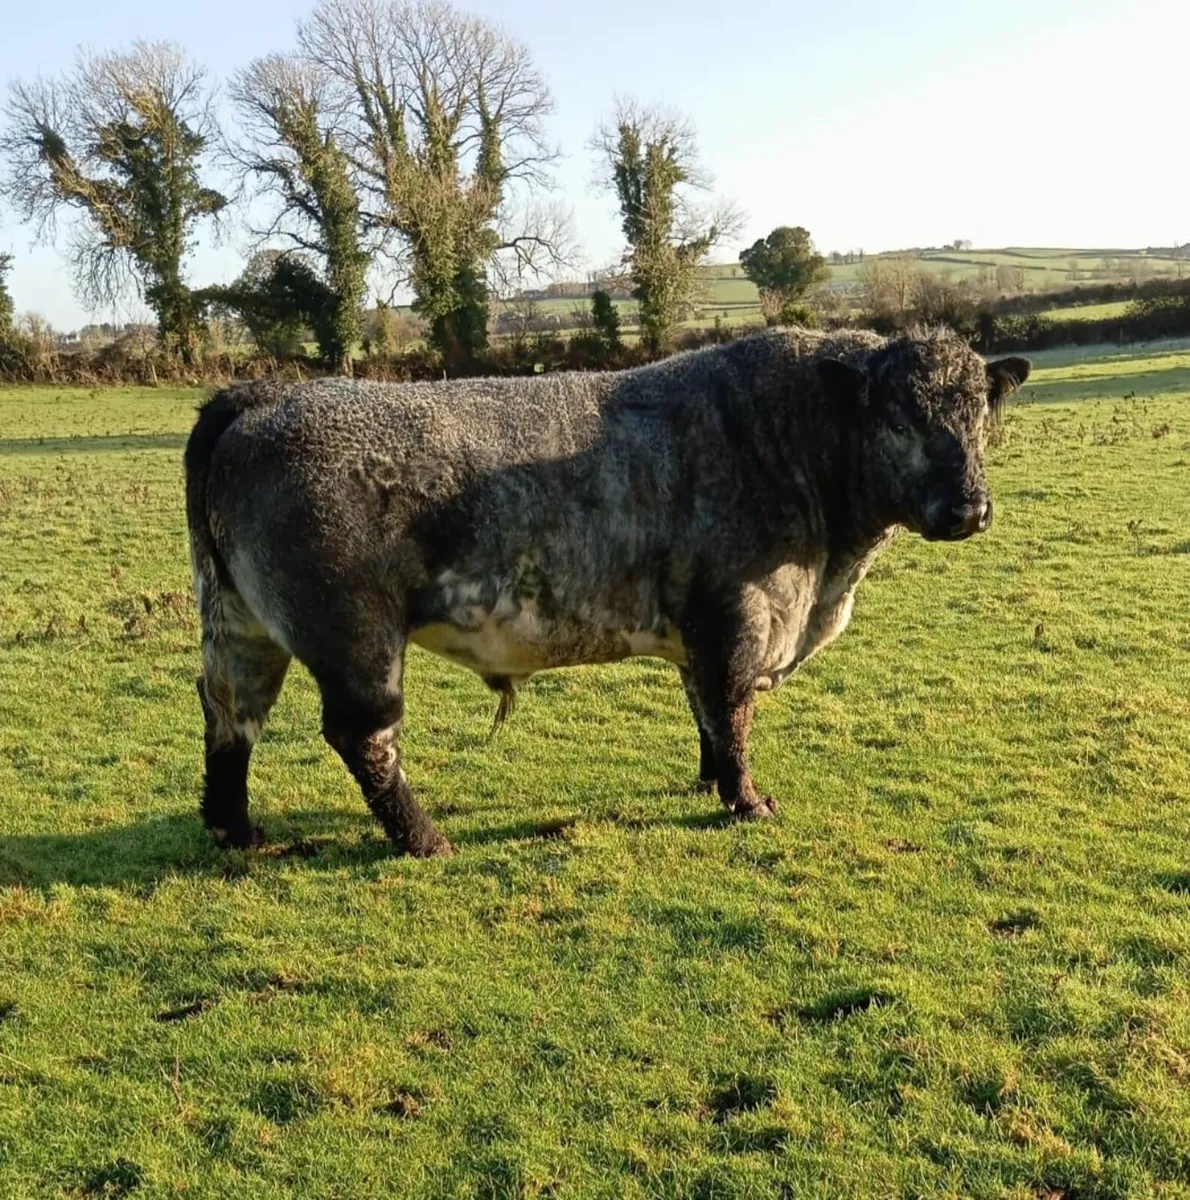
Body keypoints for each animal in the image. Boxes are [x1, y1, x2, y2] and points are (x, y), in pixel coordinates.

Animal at [184, 326, 1030, 856]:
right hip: (355, 637)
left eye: (981, 417)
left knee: (230, 713)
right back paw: (423, 839)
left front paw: (712, 781)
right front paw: (746, 800)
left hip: (239, 622)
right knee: (363, 736)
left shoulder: (698, 626)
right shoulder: (738, 613)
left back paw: (233, 828)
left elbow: (706, 709)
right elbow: (732, 706)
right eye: (899, 419)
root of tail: (262, 395)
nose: (969, 508)